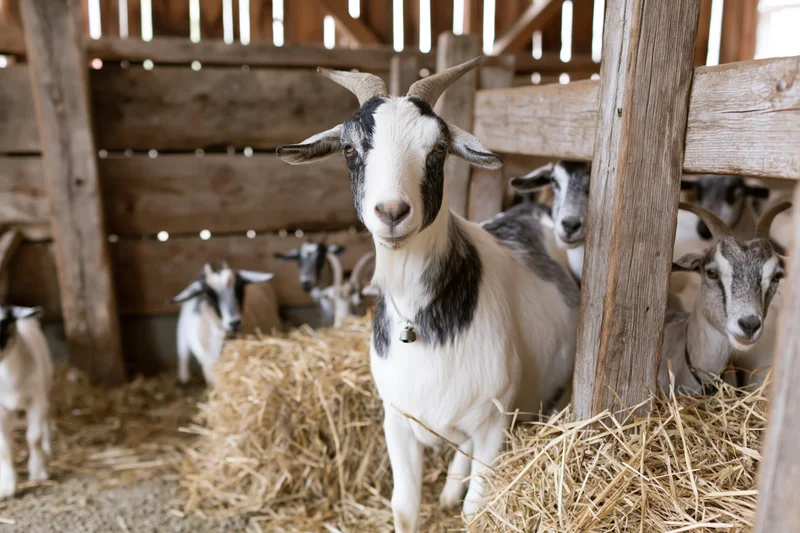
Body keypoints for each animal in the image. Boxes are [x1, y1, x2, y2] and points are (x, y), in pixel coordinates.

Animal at [0, 305, 53, 499]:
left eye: (5, 322)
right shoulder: (1, 409)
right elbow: (4, 447)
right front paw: (7, 485)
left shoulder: (37, 400)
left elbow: (34, 437)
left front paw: (38, 472)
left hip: (46, 384)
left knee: (47, 418)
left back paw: (47, 446)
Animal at [277, 57, 579, 531]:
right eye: (349, 148)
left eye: (437, 149)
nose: (391, 212)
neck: (418, 319)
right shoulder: (397, 419)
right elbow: (403, 506)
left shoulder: (494, 423)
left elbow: (475, 511)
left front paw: (462, 502)